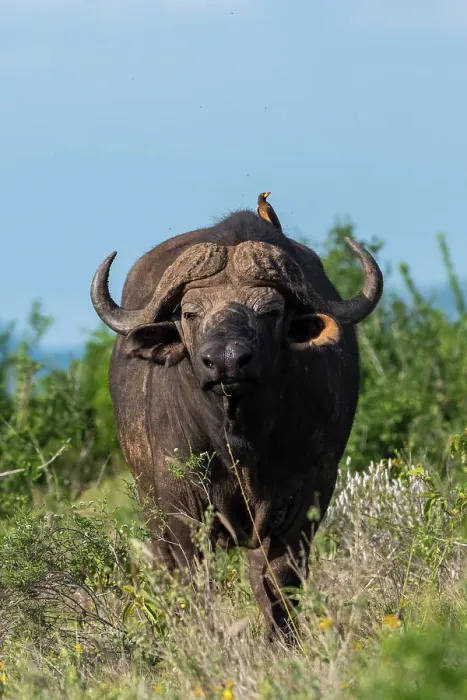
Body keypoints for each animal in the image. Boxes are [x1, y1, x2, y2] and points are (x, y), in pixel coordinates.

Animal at [90, 193, 383, 637]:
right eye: (190, 313)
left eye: (270, 312)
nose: (226, 362)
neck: (238, 437)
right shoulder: (179, 502)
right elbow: (193, 580)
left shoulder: (307, 494)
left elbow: (278, 580)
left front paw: (283, 639)